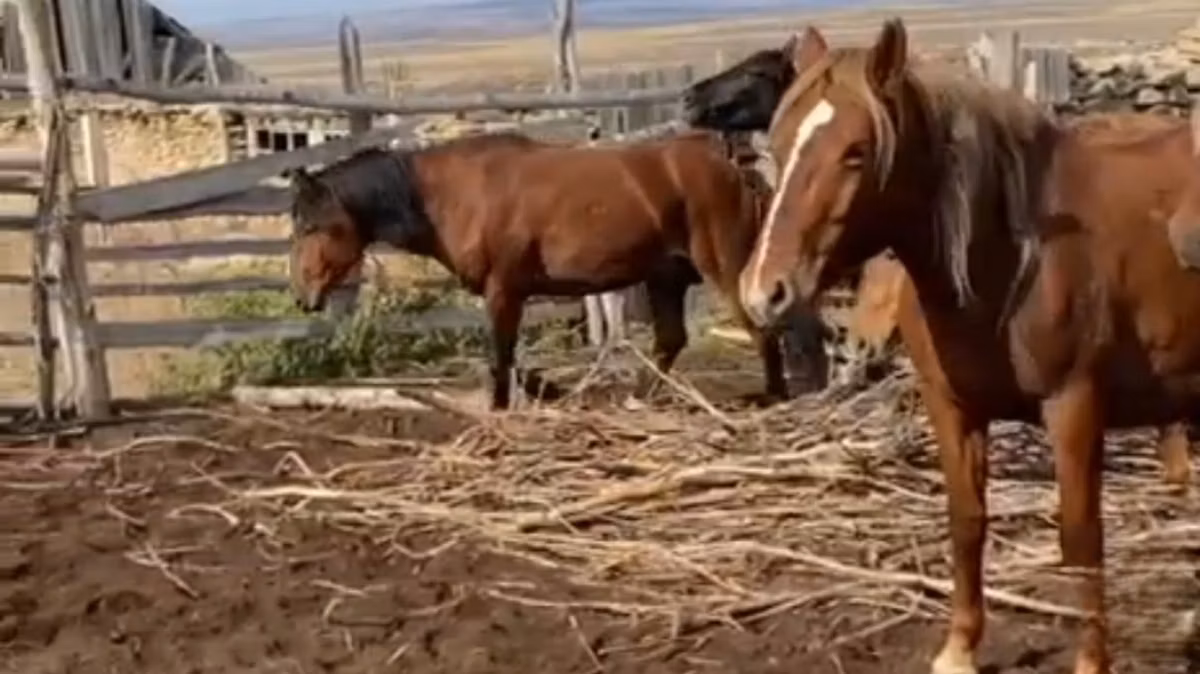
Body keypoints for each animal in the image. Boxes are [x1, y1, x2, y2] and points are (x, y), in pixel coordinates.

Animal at [285, 130, 829, 411]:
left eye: (312, 226)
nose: (302, 297)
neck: (455, 193)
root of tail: (734, 162)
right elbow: (507, 356)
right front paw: (537, 390)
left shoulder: (504, 290)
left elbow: (500, 355)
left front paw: (502, 405)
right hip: (666, 276)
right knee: (671, 340)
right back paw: (639, 398)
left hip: (723, 266)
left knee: (761, 330)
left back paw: (771, 396)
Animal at [737, 19, 1199, 674]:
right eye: (775, 147)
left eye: (856, 153)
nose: (764, 292)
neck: (1012, 252)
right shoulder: (953, 408)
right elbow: (966, 522)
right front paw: (958, 649)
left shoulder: (1075, 407)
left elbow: (1080, 538)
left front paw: (1090, 660)